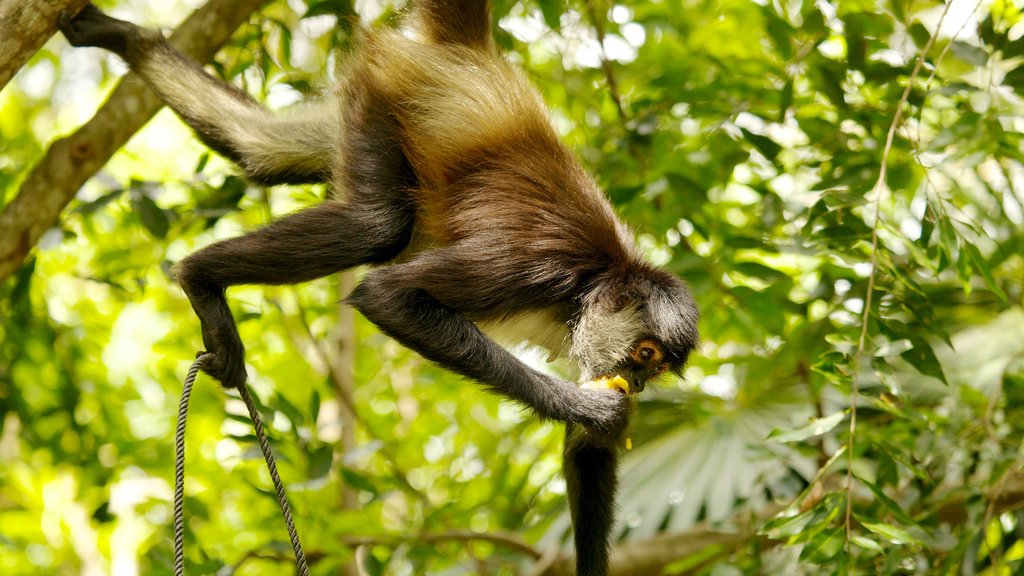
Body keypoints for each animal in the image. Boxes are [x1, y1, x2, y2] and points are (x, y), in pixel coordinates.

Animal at [61, 2, 696, 569]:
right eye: (645, 355)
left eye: (657, 367)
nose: (640, 384)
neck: (600, 276)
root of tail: (473, 55)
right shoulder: (530, 269)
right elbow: (386, 295)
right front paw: (591, 407)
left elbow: (588, 450)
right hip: (387, 96)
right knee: (378, 224)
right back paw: (200, 277)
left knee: (264, 155)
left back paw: (127, 39)